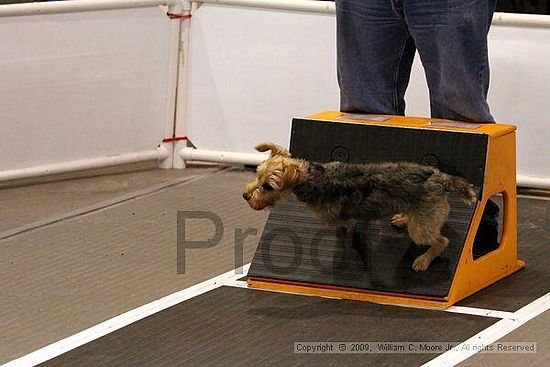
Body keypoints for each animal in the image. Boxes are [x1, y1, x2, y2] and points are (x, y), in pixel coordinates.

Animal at [243, 142, 478, 272]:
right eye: (257, 174)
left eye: (268, 186)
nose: (245, 196)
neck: (313, 178)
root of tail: (440, 177)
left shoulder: (340, 221)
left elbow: (344, 231)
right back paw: (403, 217)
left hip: (421, 229)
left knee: (441, 241)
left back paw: (423, 260)